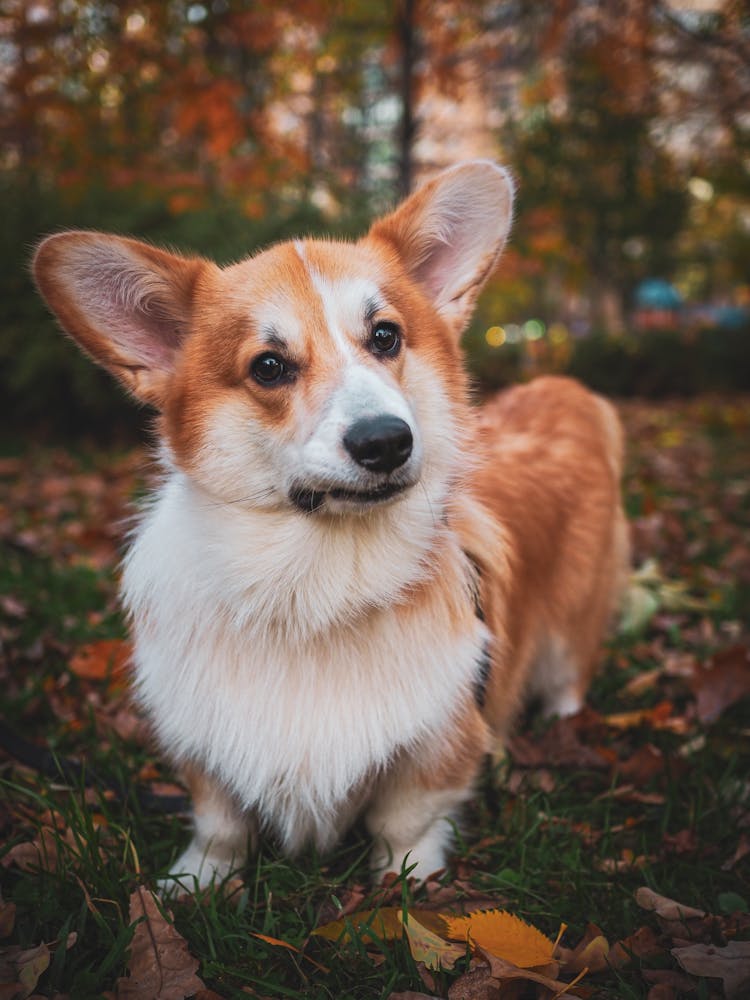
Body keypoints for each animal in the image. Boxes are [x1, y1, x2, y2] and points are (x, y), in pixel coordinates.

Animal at [32, 164, 628, 892]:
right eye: (268, 366)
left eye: (386, 337)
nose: (386, 442)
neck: (315, 584)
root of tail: (565, 389)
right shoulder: (204, 743)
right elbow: (219, 822)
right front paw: (194, 884)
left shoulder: (440, 739)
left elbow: (405, 821)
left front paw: (404, 888)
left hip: (571, 630)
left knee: (568, 677)